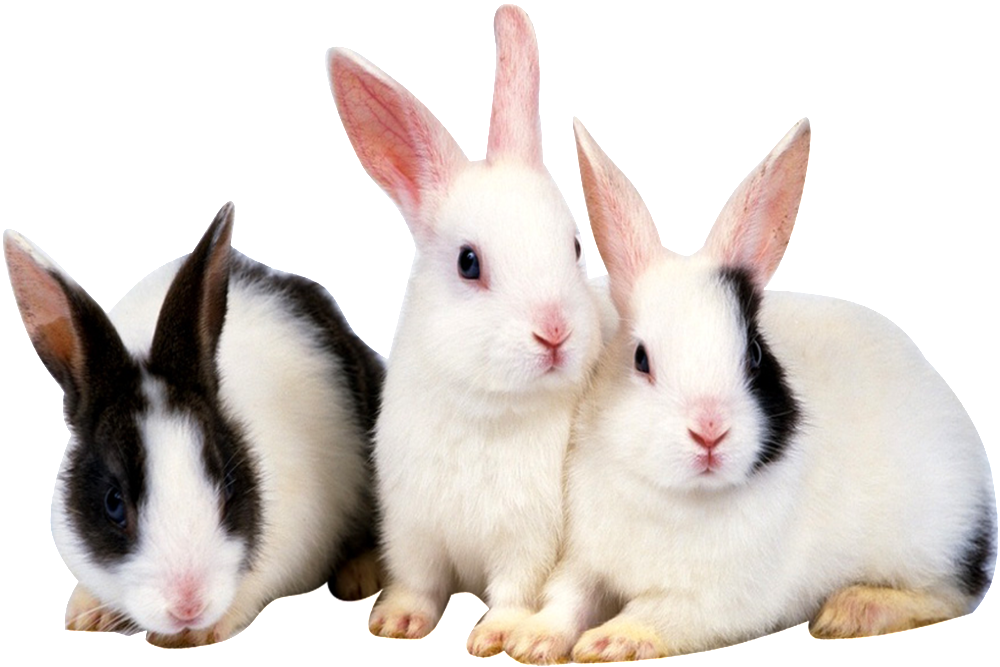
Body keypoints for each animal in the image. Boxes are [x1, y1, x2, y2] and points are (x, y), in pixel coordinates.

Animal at [3, 200, 385, 648]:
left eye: (229, 485)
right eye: (113, 503)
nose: (188, 605)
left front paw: (198, 632)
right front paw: (86, 613)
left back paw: (361, 577)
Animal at [323, 2, 604, 657]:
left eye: (575, 246)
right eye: (468, 263)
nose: (554, 332)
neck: (483, 410)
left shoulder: (528, 541)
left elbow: (515, 589)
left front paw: (495, 635)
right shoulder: (413, 529)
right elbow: (419, 582)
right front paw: (397, 621)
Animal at [503, 116, 997, 664]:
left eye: (755, 356)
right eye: (641, 360)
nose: (710, 432)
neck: (676, 496)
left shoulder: (714, 602)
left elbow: (656, 614)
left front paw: (610, 641)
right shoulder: (585, 562)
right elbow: (566, 599)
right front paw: (533, 639)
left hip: (933, 542)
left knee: (952, 594)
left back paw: (851, 611)